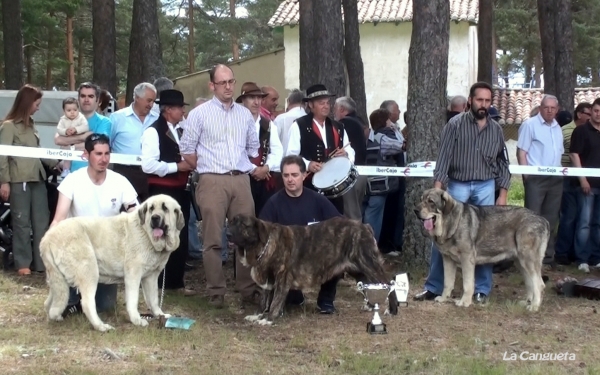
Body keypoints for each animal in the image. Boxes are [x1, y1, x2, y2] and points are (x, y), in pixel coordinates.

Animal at [39, 194, 183, 332]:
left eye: (165, 208)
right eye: (151, 209)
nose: (154, 218)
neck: (146, 233)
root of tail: (47, 238)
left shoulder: (151, 277)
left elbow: (153, 300)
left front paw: (160, 315)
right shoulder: (133, 275)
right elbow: (133, 300)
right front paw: (137, 320)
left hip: (59, 280)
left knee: (50, 301)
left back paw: (55, 317)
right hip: (89, 271)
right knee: (86, 303)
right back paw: (101, 326)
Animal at [226, 216, 398, 324]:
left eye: (243, 225)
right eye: (231, 222)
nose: (227, 234)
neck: (264, 244)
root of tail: (365, 226)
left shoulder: (282, 279)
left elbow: (275, 302)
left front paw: (269, 319)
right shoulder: (267, 281)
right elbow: (263, 300)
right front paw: (257, 315)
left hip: (369, 265)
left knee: (389, 283)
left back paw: (392, 310)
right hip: (358, 271)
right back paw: (370, 306)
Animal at [412, 189, 548, 312]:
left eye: (431, 201)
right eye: (421, 199)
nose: (415, 210)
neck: (451, 223)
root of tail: (543, 220)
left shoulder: (467, 259)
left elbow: (467, 284)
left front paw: (465, 302)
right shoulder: (448, 259)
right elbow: (447, 283)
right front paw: (444, 298)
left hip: (527, 260)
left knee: (539, 284)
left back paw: (534, 306)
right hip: (520, 262)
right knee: (530, 283)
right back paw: (527, 302)